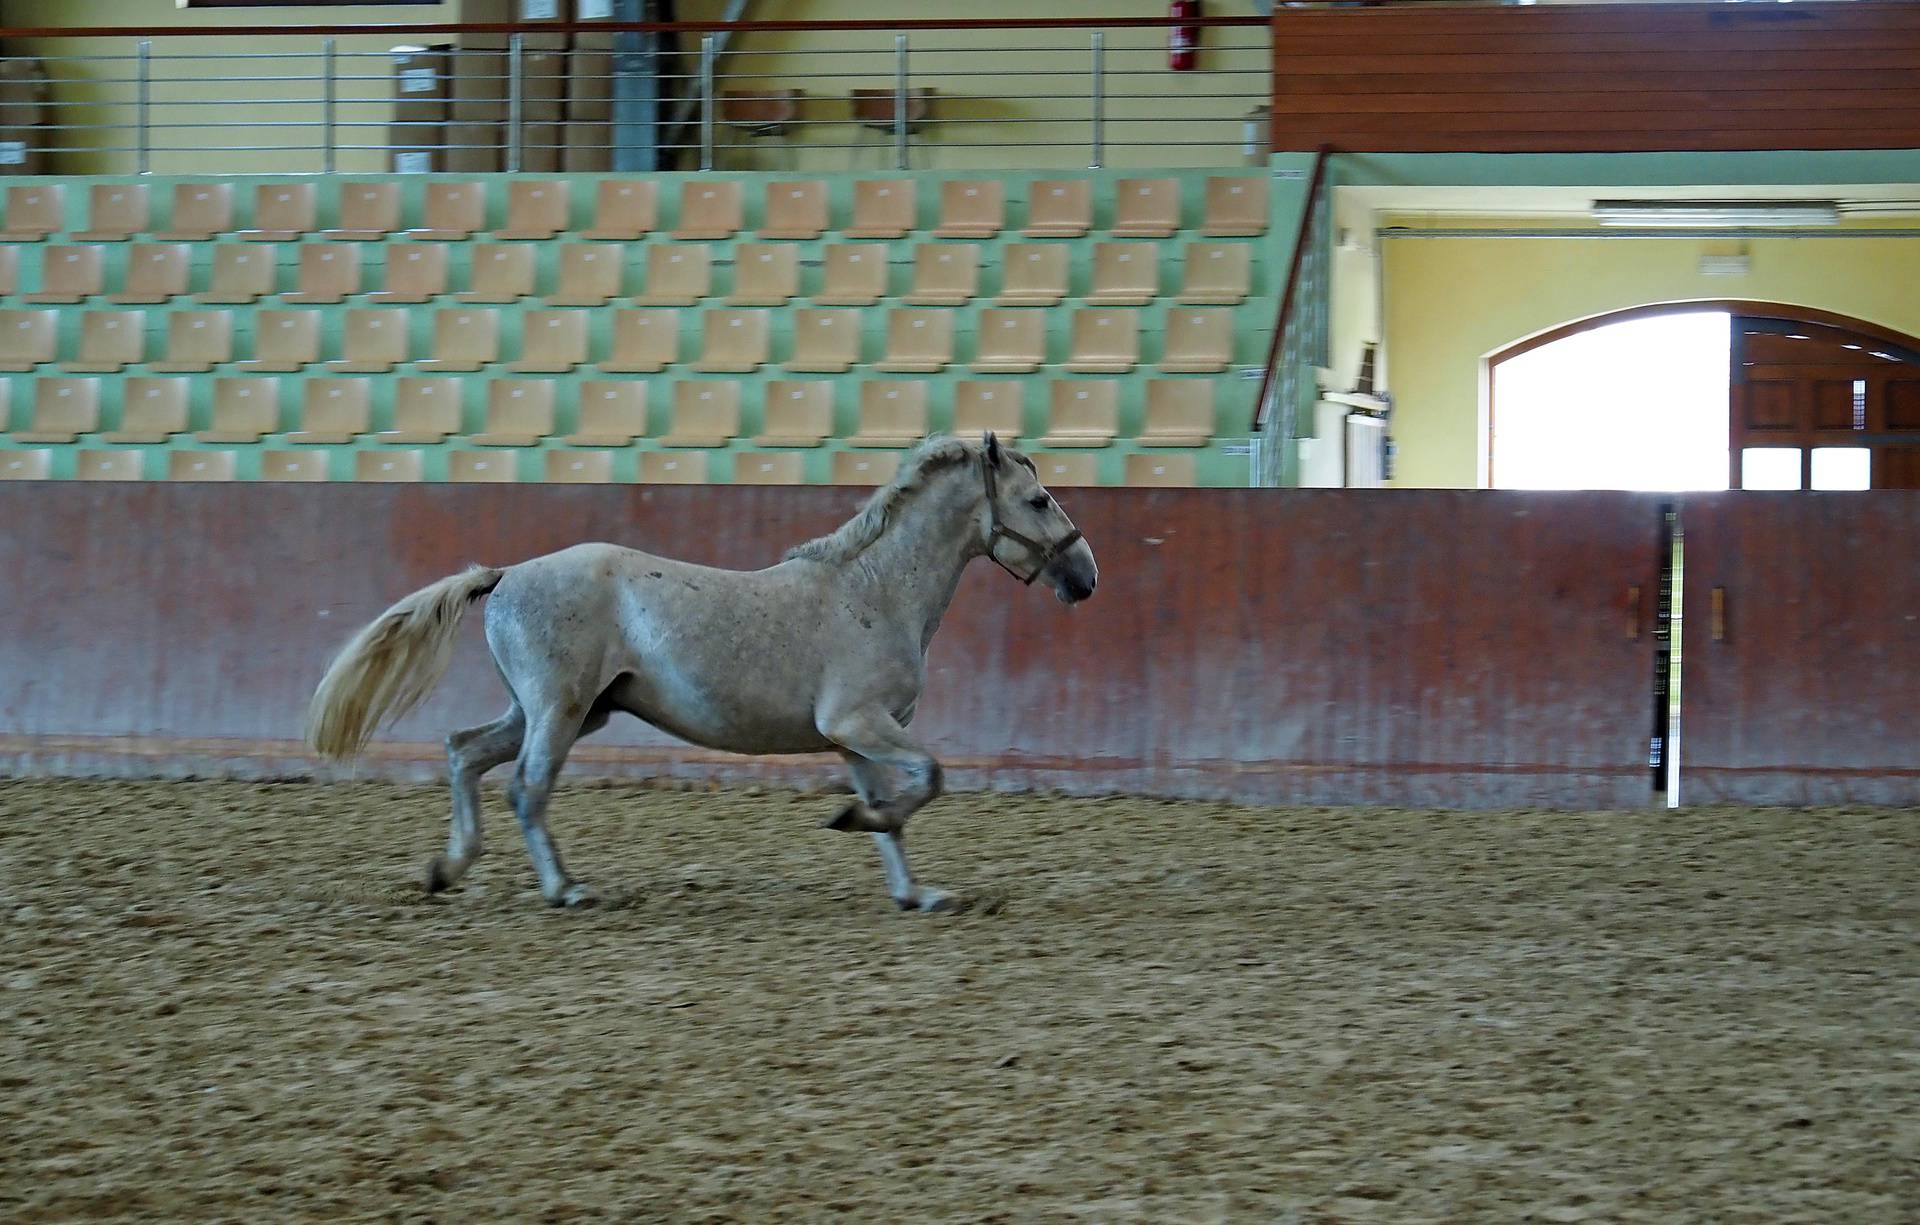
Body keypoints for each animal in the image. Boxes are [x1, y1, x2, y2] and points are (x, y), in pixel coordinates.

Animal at [311, 437, 1098, 917]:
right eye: (1037, 500)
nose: (1084, 577)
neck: (873, 592)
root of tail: (505, 575)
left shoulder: (854, 737)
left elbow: (892, 811)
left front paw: (913, 890)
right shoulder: (859, 723)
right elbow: (930, 777)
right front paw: (855, 824)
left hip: (560, 710)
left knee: (464, 751)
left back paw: (448, 869)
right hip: (560, 711)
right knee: (525, 787)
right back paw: (566, 889)